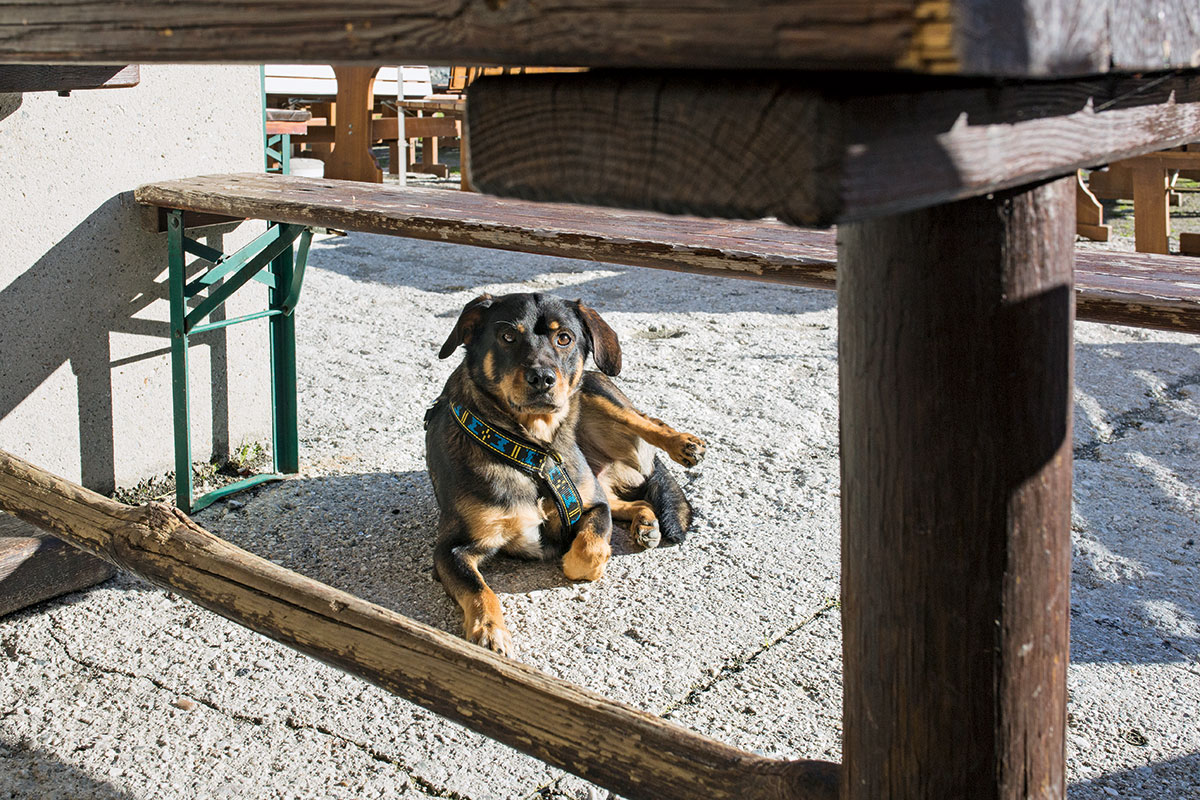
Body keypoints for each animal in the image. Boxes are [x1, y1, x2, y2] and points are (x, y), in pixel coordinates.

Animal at [422, 291, 700, 652]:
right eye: (507, 336)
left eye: (564, 338)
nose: (542, 378)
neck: (533, 449)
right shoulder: (451, 549)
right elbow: (479, 589)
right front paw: (489, 629)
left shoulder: (593, 505)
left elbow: (589, 549)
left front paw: (578, 559)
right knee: (635, 501)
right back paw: (646, 523)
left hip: (595, 388)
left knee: (646, 419)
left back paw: (683, 444)